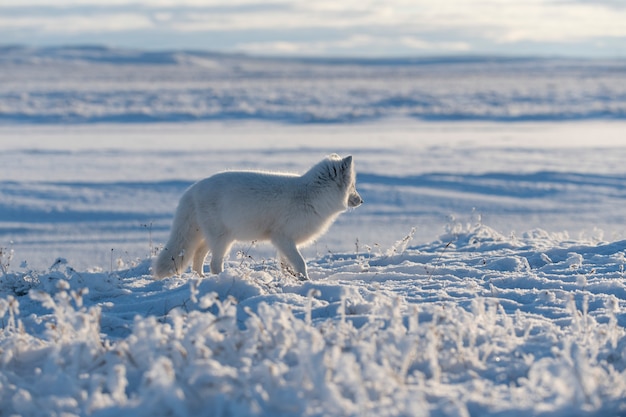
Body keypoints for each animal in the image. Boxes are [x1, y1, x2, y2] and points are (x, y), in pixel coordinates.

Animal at [152, 154, 364, 280]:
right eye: (353, 186)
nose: (362, 201)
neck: (311, 195)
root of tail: (192, 189)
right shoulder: (282, 238)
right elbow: (300, 263)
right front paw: (307, 281)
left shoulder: (285, 242)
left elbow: (286, 265)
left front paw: (291, 280)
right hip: (222, 240)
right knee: (213, 263)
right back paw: (220, 278)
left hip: (208, 238)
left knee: (197, 257)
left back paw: (201, 278)